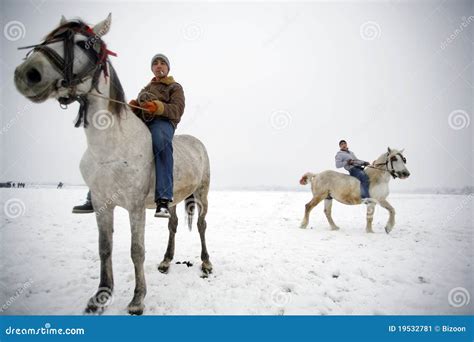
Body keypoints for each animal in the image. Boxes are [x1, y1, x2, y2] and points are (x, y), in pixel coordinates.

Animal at [13, 15, 212, 316]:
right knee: (173, 223)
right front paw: (100, 297)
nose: (28, 73)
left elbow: (136, 250)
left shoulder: (135, 207)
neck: (111, 144)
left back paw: (206, 263)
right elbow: (104, 248)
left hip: (202, 195)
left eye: (83, 43)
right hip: (175, 198)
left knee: (201, 225)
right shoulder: (102, 204)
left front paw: (138, 299)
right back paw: (166, 261)